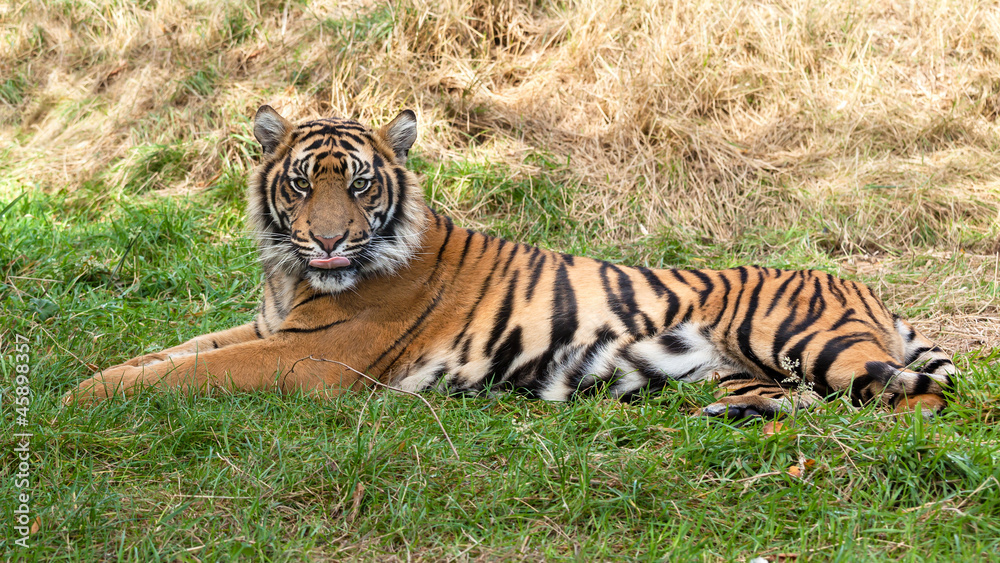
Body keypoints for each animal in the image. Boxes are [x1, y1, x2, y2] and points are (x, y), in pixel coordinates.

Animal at [65, 106, 957, 419]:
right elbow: (167, 354)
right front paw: (82, 382)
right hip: (746, 368)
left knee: (912, 397)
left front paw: (79, 401)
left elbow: (185, 372)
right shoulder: (266, 327)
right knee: (792, 399)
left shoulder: (310, 355)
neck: (291, 277)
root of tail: (863, 286)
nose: (327, 241)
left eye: (358, 185)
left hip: (813, 343)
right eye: (301, 183)